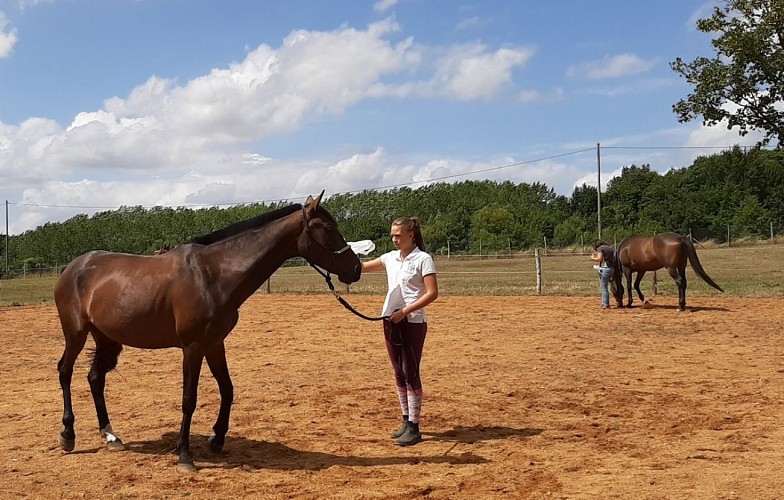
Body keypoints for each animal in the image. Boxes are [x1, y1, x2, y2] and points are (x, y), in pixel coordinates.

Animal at [54, 192, 361, 472]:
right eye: (329, 228)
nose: (356, 268)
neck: (213, 275)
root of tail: (73, 267)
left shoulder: (214, 344)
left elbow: (227, 389)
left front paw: (217, 439)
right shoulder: (192, 347)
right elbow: (189, 399)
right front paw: (185, 455)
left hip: (106, 338)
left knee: (95, 378)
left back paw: (110, 435)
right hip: (76, 333)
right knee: (65, 372)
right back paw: (68, 435)